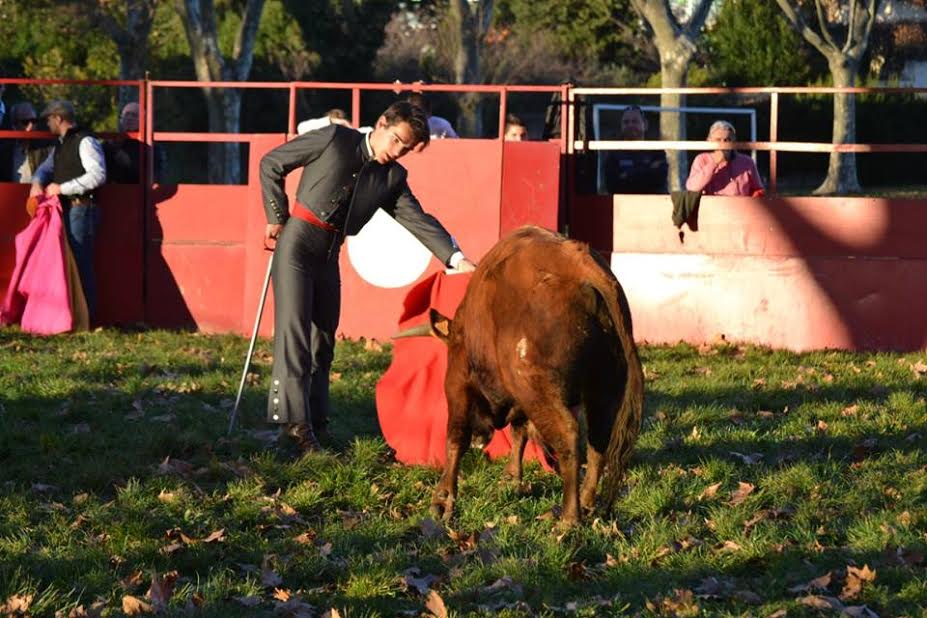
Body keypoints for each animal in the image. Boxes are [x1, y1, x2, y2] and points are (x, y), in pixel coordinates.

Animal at [416, 224, 640, 524]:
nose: (480, 438)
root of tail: (579, 265)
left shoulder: (459, 383)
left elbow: (456, 437)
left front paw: (442, 500)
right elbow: (519, 432)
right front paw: (513, 479)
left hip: (538, 388)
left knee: (569, 436)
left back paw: (569, 518)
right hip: (603, 389)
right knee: (598, 443)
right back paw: (586, 503)